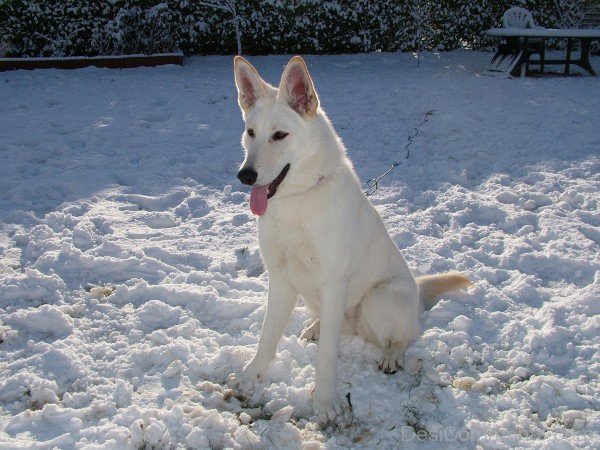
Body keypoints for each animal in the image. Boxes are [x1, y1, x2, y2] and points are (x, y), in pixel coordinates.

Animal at [230, 55, 468, 422]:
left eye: (280, 135)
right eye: (250, 132)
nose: (245, 176)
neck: (298, 201)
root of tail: (417, 292)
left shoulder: (333, 283)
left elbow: (327, 357)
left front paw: (326, 402)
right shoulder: (281, 281)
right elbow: (267, 337)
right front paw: (251, 376)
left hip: (379, 298)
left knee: (405, 336)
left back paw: (391, 355)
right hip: (316, 298)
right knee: (341, 325)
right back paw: (315, 327)